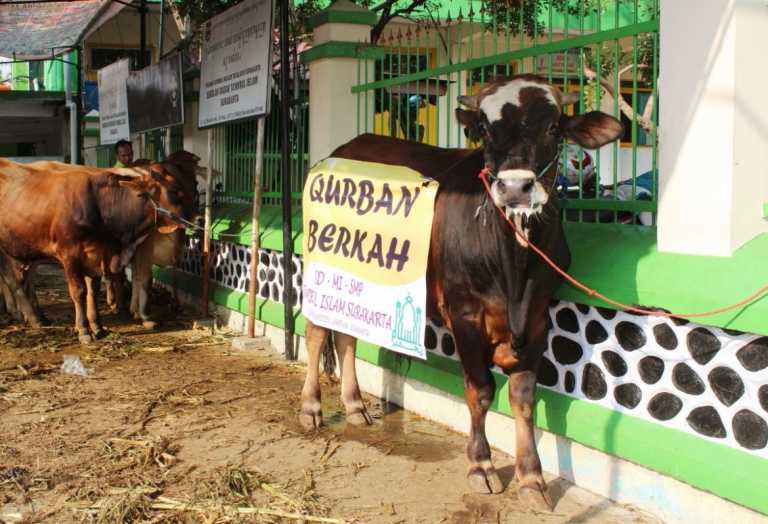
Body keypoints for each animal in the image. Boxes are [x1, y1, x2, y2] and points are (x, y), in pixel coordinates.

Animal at [0, 158, 187, 342]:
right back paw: (32, 317)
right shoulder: (69, 255)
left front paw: (97, 326)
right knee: (14, 281)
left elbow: (93, 291)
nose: (192, 220)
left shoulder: (96, 255)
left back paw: (36, 317)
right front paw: (83, 330)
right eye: (174, 190)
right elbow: (79, 291)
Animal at [300, 75, 624, 510]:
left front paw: (532, 477)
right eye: (484, 129)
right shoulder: (464, 312)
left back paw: (354, 405)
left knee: (348, 333)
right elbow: (480, 390)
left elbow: (524, 397)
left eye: (555, 128)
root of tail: (337, 154)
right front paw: (481, 465)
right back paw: (311, 407)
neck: (514, 270)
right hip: (322, 263)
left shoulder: (538, 317)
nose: (515, 186)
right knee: (318, 331)